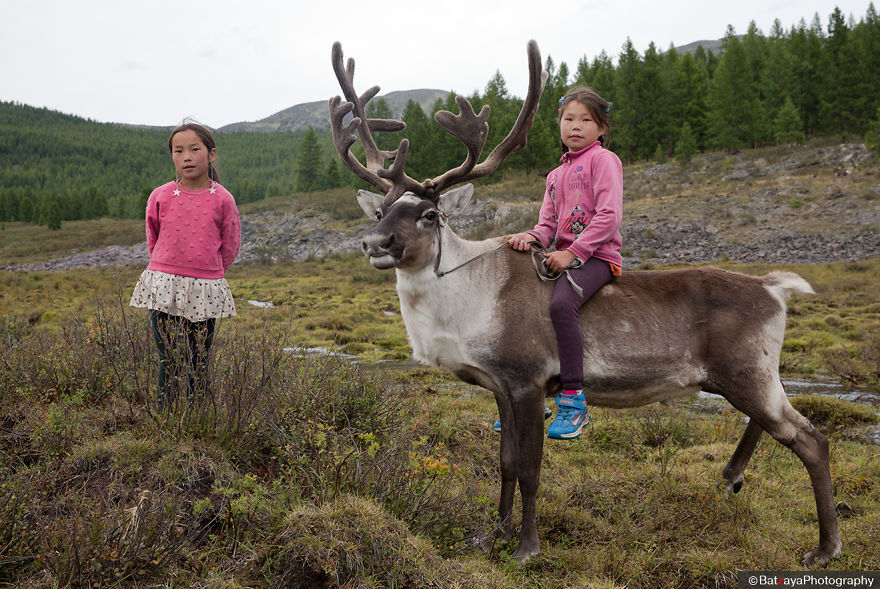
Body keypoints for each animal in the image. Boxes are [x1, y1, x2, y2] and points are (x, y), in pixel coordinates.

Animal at [328, 40, 841, 567]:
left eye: (430, 214)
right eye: (382, 210)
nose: (375, 242)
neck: (467, 298)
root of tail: (774, 288)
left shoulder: (529, 382)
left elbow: (530, 470)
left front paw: (526, 548)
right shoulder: (500, 387)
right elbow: (505, 464)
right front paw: (490, 536)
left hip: (746, 373)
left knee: (812, 440)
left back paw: (824, 548)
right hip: (745, 376)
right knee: (776, 421)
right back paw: (731, 477)